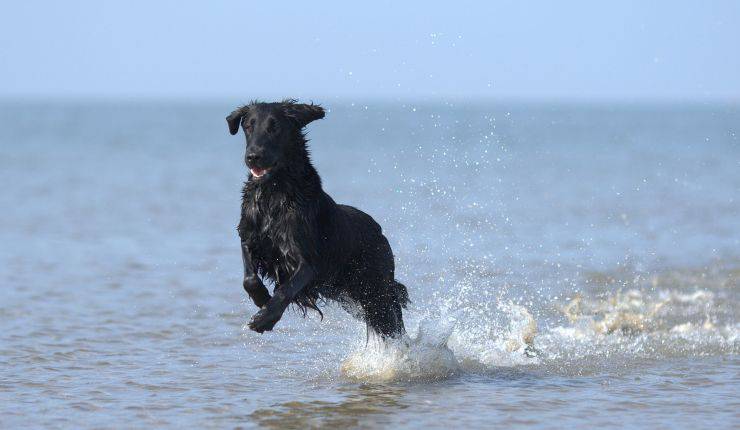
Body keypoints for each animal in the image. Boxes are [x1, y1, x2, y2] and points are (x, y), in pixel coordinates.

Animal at [227, 99, 408, 338]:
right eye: (248, 125)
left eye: (275, 127)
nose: (253, 156)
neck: (274, 193)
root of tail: (378, 230)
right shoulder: (249, 236)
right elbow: (249, 279)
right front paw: (262, 299)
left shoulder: (308, 262)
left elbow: (286, 290)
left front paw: (265, 319)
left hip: (376, 292)